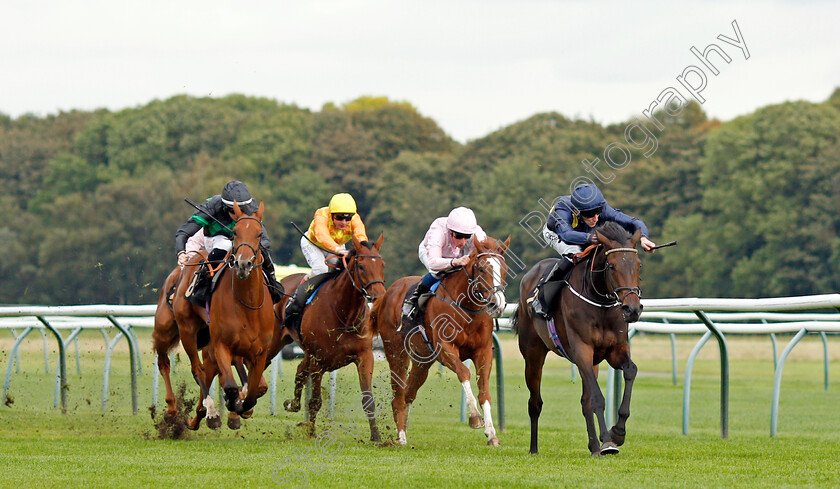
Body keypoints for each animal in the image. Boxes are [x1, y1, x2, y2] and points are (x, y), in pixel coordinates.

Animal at [278, 234, 388, 440]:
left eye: (382, 264)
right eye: (361, 266)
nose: (379, 296)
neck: (344, 314)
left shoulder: (365, 356)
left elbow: (368, 399)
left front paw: (376, 436)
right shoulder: (318, 361)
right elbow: (315, 401)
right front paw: (311, 432)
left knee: (300, 371)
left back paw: (292, 404)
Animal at [374, 234, 512, 444]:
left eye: (504, 269)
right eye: (481, 268)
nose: (498, 304)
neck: (466, 308)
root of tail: (388, 293)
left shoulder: (484, 351)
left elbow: (484, 390)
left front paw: (492, 433)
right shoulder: (444, 349)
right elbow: (464, 372)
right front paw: (475, 417)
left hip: (422, 362)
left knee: (409, 393)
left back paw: (404, 429)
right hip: (396, 353)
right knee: (398, 395)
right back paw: (401, 436)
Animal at [512, 223, 644, 456]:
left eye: (638, 265)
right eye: (611, 266)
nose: (632, 309)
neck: (600, 301)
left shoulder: (615, 350)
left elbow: (630, 371)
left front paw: (618, 432)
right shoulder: (582, 350)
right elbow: (597, 399)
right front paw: (607, 441)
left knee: (584, 401)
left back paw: (593, 446)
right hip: (533, 354)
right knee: (535, 402)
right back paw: (534, 448)